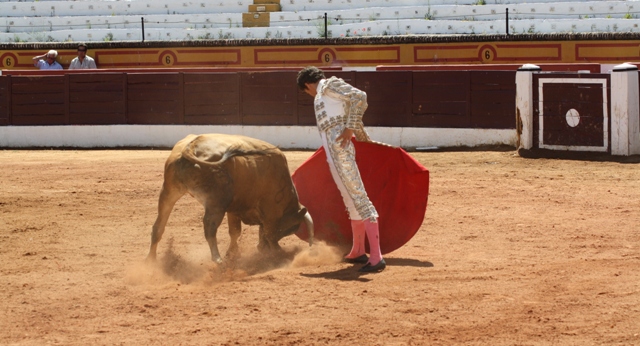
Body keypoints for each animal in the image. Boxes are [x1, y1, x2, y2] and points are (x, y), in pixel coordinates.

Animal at [146, 134, 316, 264]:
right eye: (289, 228)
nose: (261, 248)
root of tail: (191, 146)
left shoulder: (234, 209)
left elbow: (235, 232)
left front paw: (233, 254)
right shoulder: (270, 211)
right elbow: (270, 233)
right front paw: (279, 253)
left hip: (169, 191)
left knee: (158, 226)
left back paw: (151, 260)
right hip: (216, 203)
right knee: (209, 228)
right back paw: (218, 260)